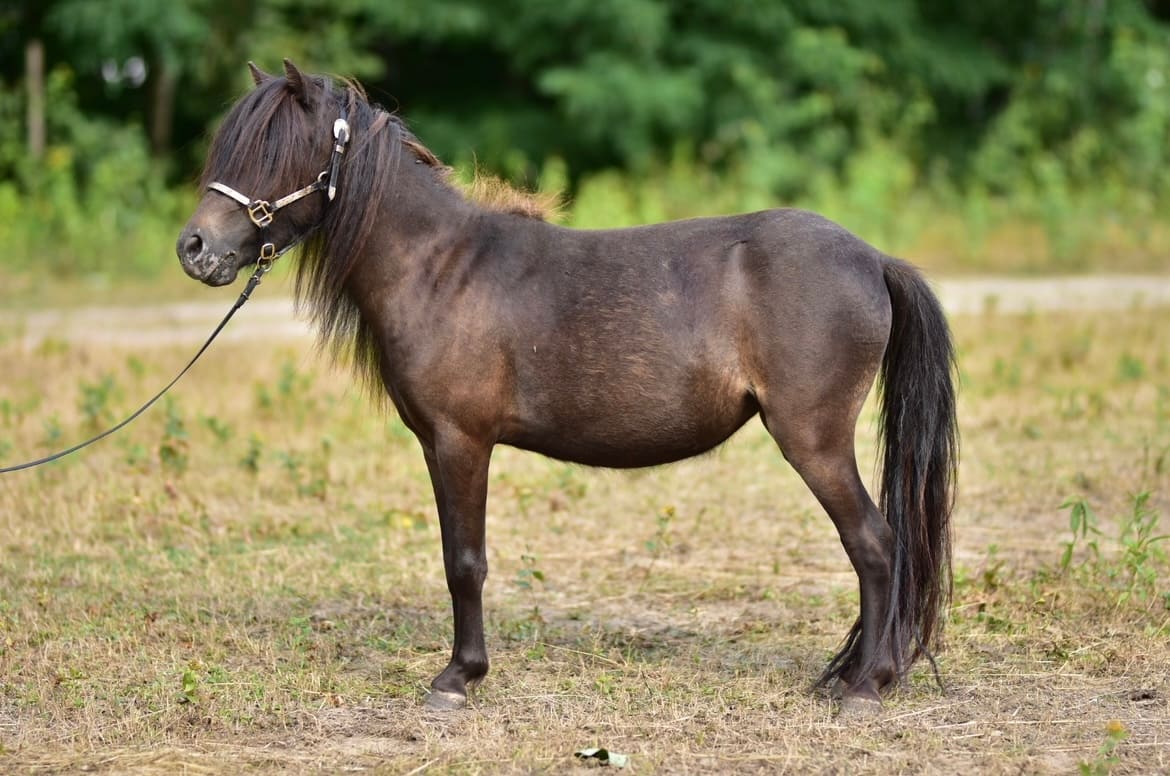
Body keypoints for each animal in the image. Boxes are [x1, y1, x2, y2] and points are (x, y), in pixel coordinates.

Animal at [177, 59, 958, 713]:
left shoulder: (459, 442)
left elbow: (464, 562)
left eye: (276, 154)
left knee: (875, 544)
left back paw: (866, 686)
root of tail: (871, 258)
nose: (195, 249)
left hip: (814, 441)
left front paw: (458, 678)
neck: (440, 266)